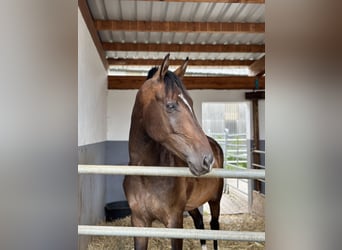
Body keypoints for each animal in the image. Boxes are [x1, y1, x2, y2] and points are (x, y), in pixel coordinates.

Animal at [123, 53, 224, 249]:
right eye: (171, 105)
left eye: (191, 102)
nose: (207, 160)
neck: (147, 175)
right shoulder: (138, 222)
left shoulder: (175, 222)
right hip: (192, 205)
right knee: (200, 223)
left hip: (215, 200)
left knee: (214, 226)